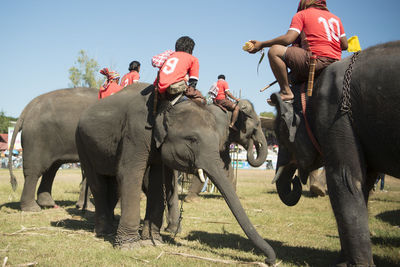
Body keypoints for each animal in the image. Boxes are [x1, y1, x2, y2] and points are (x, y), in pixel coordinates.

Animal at [74, 82, 276, 266]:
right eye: (192, 139)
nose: (268, 260)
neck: (169, 104)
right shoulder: (136, 132)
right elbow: (130, 174)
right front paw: (129, 246)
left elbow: (156, 180)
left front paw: (152, 241)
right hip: (82, 142)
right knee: (98, 183)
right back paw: (104, 231)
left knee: (113, 183)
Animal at [270, 40, 398, 266]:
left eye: (279, 134)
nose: (294, 180)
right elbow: (362, 185)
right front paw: (343, 262)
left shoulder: (336, 118)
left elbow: (344, 179)